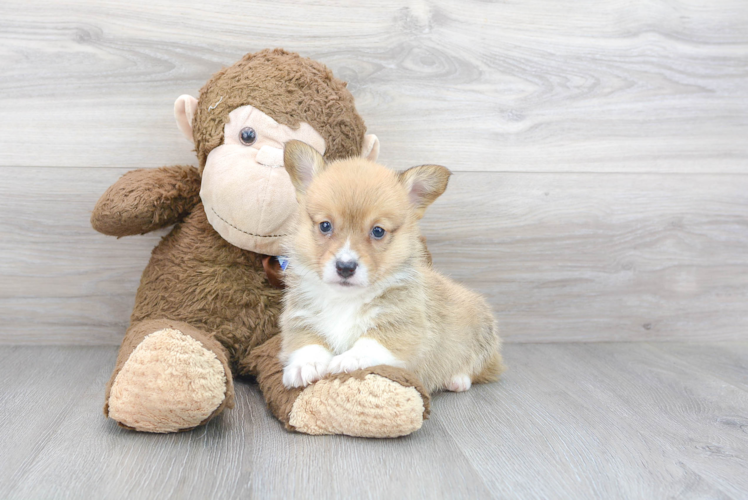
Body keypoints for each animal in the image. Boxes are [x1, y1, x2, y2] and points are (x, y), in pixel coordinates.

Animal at [280, 141, 502, 394]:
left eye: (378, 231)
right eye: (325, 225)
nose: (345, 267)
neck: (345, 299)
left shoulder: (404, 327)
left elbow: (371, 342)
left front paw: (348, 359)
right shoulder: (300, 319)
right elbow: (307, 343)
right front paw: (304, 365)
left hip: (481, 335)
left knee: (478, 368)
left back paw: (457, 379)